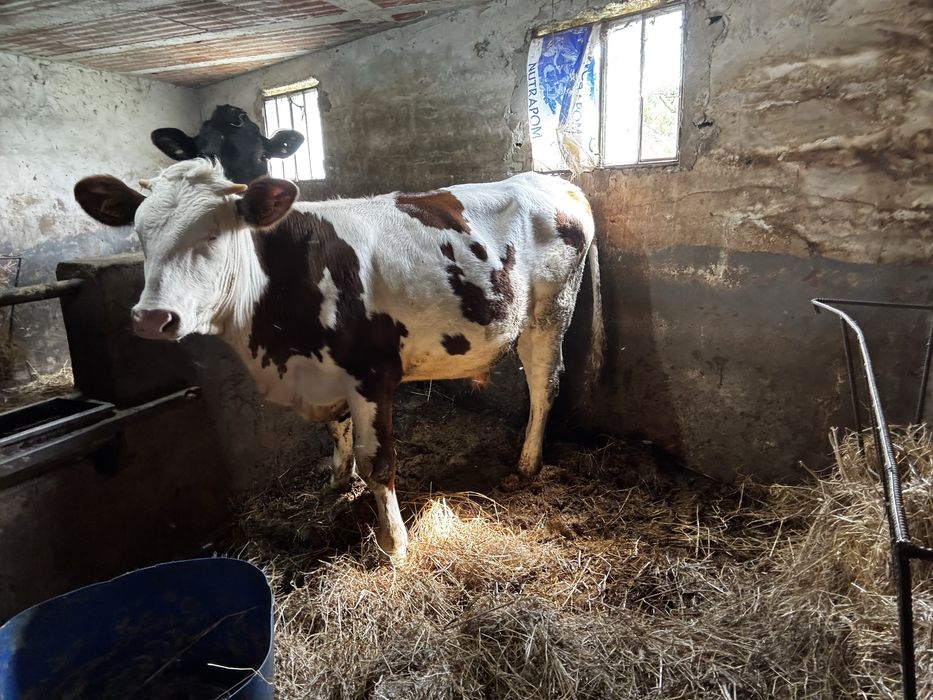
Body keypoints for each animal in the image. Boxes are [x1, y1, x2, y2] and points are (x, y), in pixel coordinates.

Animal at [74, 159, 603, 559]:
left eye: (212, 235)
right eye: (141, 235)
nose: (151, 318)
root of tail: (556, 181)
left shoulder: (372, 372)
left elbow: (379, 463)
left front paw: (394, 544)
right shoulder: (323, 375)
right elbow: (336, 429)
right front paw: (336, 481)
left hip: (549, 312)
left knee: (544, 384)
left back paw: (528, 463)